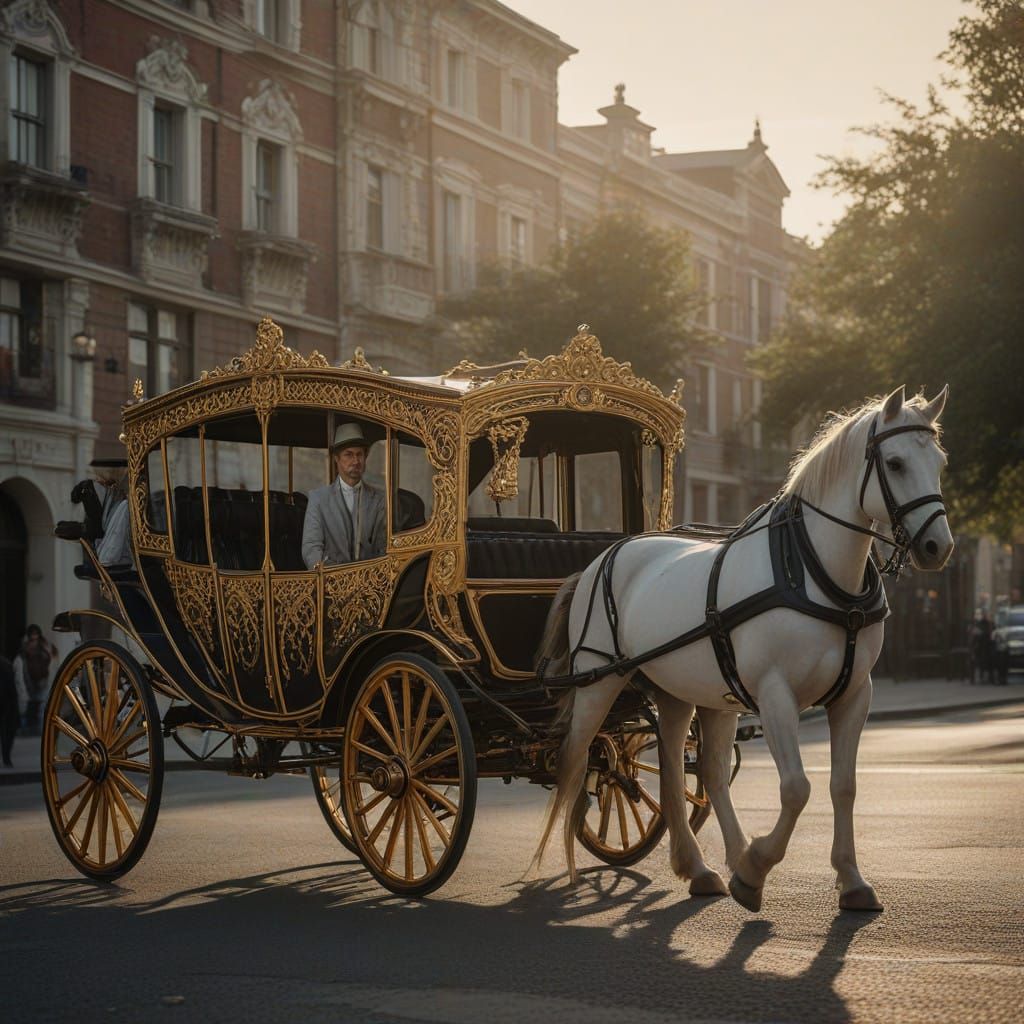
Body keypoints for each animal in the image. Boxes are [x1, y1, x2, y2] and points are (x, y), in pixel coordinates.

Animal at [530, 385, 953, 913]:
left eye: (939, 461)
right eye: (894, 463)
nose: (938, 546)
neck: (815, 573)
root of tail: (604, 556)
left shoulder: (856, 694)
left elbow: (843, 785)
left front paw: (849, 878)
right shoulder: (775, 695)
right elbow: (796, 788)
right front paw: (757, 867)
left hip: (690, 691)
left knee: (689, 772)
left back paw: (704, 866)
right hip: (598, 682)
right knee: (575, 761)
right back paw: (568, 862)